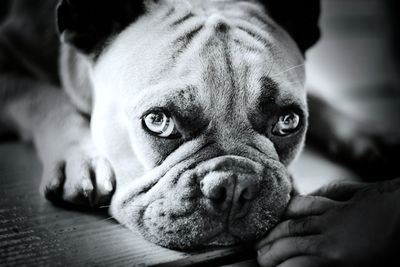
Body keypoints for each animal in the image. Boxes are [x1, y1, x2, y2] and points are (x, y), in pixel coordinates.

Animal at [0, 0, 396, 251]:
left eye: (288, 122)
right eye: (158, 121)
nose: (235, 184)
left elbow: (322, 99)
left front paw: (369, 136)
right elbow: (47, 99)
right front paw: (81, 158)